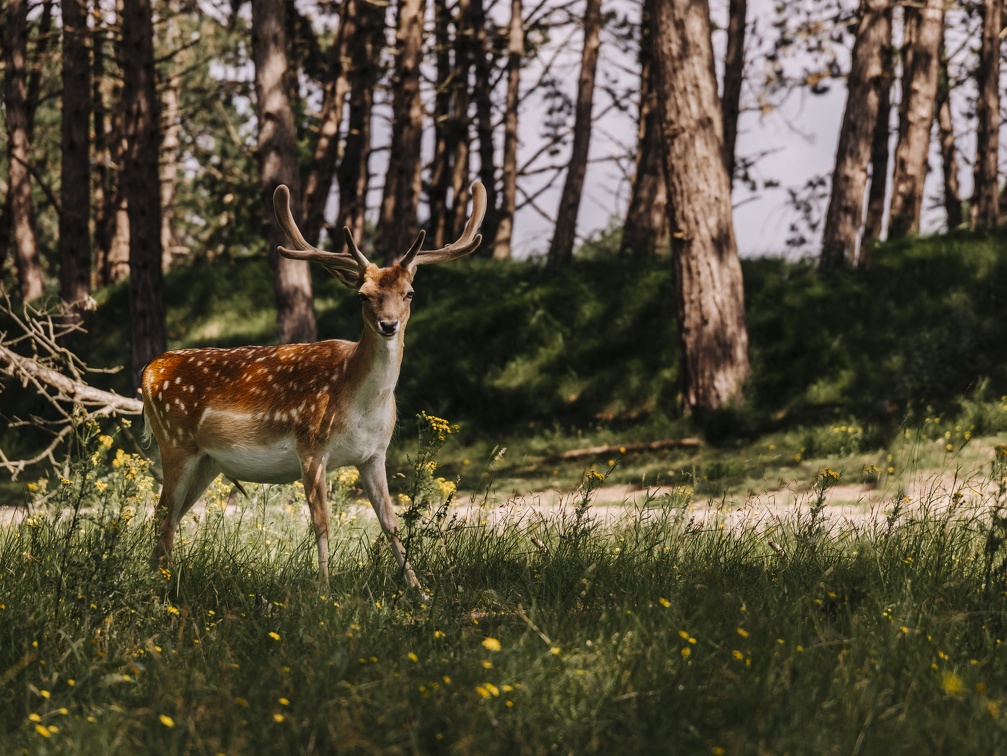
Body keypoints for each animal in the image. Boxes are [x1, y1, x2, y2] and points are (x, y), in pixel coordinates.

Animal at [142, 179, 487, 591]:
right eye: (363, 295)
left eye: (410, 293)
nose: (388, 324)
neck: (359, 403)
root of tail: (148, 371)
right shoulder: (310, 447)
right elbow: (321, 523)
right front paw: (324, 591)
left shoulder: (374, 454)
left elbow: (391, 523)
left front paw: (419, 590)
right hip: (174, 443)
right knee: (162, 516)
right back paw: (160, 590)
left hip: (207, 462)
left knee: (169, 518)